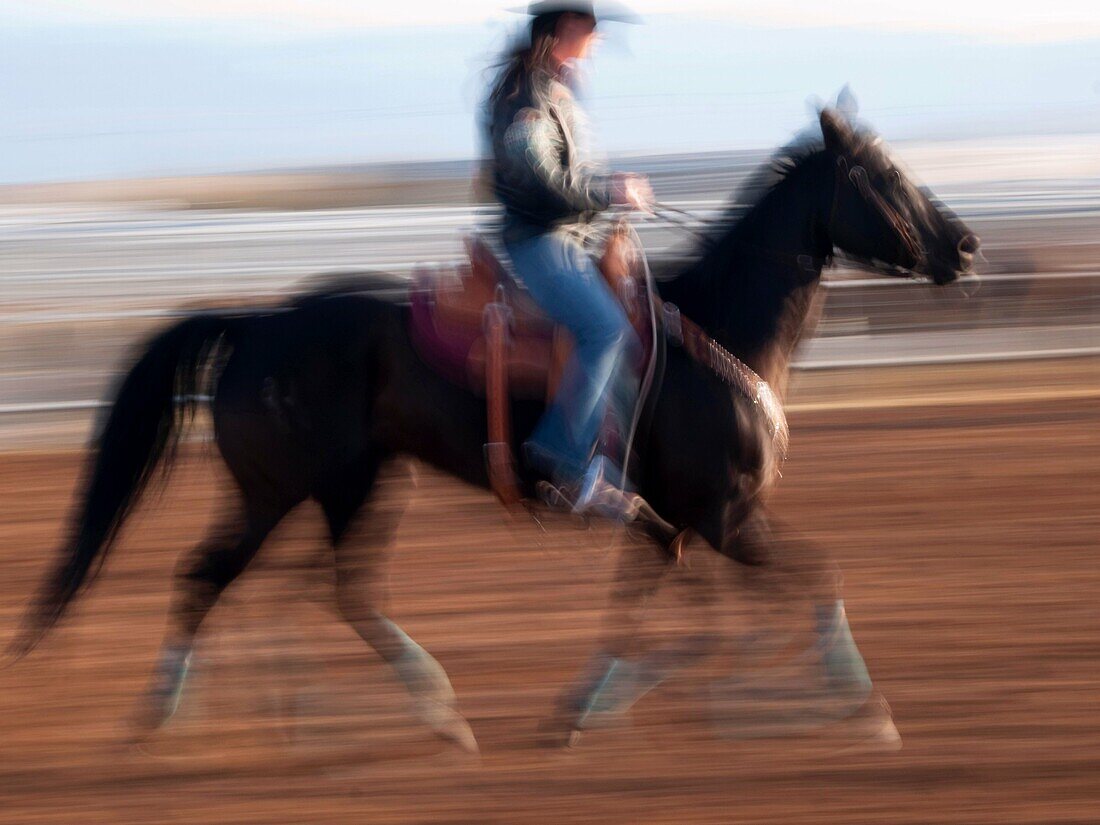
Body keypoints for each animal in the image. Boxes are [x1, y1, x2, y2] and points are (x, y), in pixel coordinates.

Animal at [12, 110, 981, 756]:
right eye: (886, 177)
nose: (967, 245)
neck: (718, 331)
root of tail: (260, 322)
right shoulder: (725, 515)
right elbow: (816, 580)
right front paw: (863, 708)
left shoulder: (673, 522)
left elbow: (655, 616)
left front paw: (595, 707)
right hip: (286, 490)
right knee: (216, 577)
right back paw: (177, 713)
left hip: (353, 485)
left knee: (315, 591)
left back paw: (353, 712)